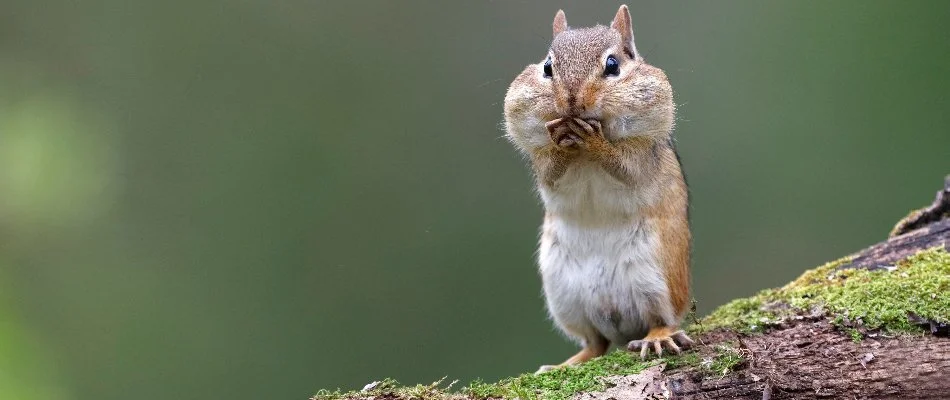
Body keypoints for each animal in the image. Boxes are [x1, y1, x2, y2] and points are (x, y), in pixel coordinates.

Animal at [503, 5, 693, 373]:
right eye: (547, 67)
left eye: (613, 65)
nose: (571, 100)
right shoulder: (541, 161)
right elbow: (549, 171)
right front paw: (561, 139)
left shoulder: (642, 154)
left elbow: (626, 167)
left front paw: (594, 141)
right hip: (565, 296)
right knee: (595, 343)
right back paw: (565, 364)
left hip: (658, 279)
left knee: (661, 319)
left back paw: (657, 337)